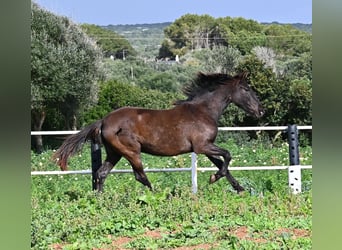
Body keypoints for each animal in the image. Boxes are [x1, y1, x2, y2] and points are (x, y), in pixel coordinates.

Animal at [54, 72, 264, 193]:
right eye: (246, 89)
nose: (261, 111)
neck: (203, 111)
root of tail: (103, 121)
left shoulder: (206, 148)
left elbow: (223, 165)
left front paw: (239, 188)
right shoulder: (203, 146)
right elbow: (227, 156)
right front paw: (214, 179)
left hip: (115, 153)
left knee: (101, 173)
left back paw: (99, 198)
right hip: (131, 151)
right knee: (139, 176)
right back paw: (158, 194)